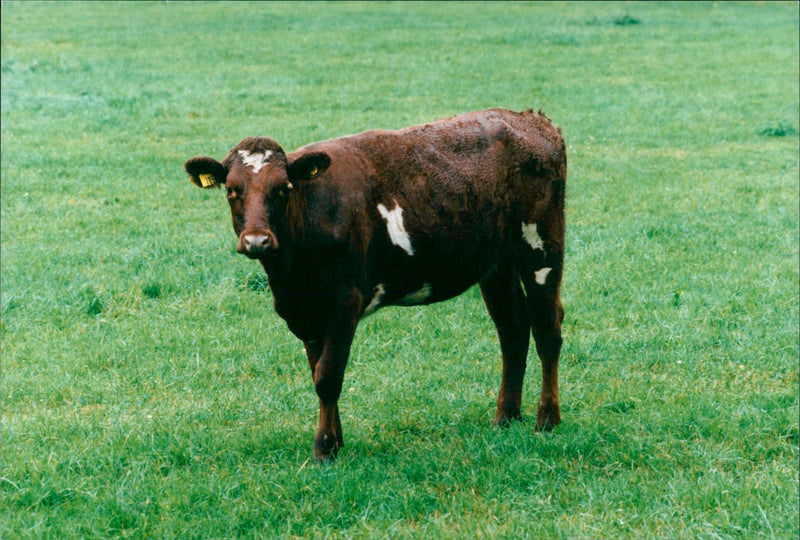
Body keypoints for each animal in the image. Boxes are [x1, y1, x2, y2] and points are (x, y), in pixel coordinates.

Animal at [184, 109, 564, 464]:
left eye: (283, 189)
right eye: (232, 190)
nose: (257, 240)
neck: (292, 275)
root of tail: (530, 119)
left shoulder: (346, 301)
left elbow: (328, 376)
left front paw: (324, 449)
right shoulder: (307, 313)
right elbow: (318, 373)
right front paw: (336, 440)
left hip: (542, 248)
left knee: (548, 331)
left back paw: (547, 420)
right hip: (497, 266)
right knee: (513, 332)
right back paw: (506, 417)